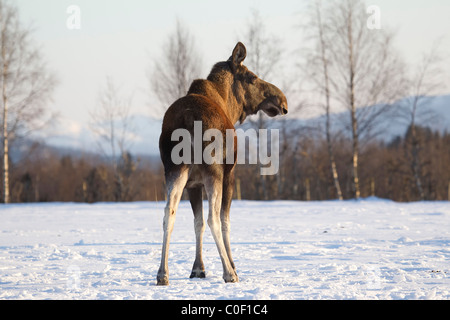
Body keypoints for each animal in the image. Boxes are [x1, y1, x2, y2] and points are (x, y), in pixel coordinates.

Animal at [156, 42, 286, 284]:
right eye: (253, 77)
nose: (281, 100)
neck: (229, 106)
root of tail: (187, 119)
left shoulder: (193, 184)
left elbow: (197, 223)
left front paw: (198, 269)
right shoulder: (230, 174)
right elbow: (225, 221)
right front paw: (233, 266)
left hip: (174, 169)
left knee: (169, 213)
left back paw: (162, 274)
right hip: (213, 171)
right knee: (213, 218)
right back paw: (229, 273)